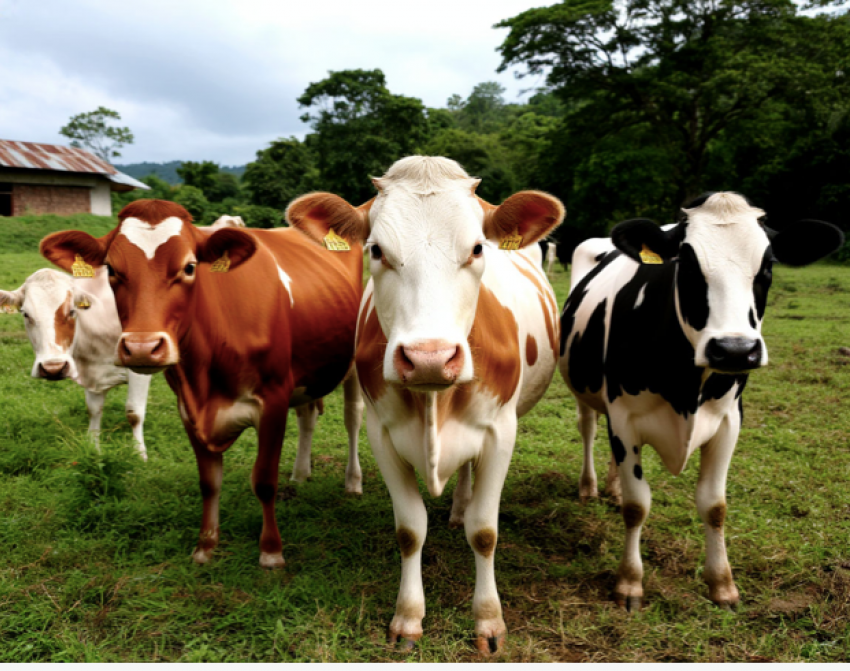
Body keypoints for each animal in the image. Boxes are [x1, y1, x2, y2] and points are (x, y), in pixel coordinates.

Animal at [1, 267, 152, 458]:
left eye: (72, 311)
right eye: (25, 314)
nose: (53, 369)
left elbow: (134, 413)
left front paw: (140, 456)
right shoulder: (92, 371)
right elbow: (93, 409)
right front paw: (94, 448)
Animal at [39, 199, 366, 568]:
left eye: (190, 267)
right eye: (110, 269)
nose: (142, 347)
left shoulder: (274, 399)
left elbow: (264, 479)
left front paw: (271, 552)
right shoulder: (188, 407)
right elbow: (209, 482)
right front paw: (205, 546)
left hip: (352, 365)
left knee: (353, 418)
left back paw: (353, 482)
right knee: (307, 416)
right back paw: (300, 474)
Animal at [292, 156, 565, 653]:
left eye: (477, 248)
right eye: (377, 250)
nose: (429, 358)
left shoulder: (501, 432)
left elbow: (485, 531)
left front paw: (488, 620)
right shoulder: (382, 435)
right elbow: (410, 530)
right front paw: (408, 617)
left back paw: (460, 507)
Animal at [559, 192, 843, 611]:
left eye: (768, 265)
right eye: (687, 265)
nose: (735, 350)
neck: (685, 387)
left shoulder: (728, 421)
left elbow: (714, 505)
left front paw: (722, 585)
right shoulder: (624, 418)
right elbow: (637, 505)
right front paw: (629, 582)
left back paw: (612, 487)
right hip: (585, 391)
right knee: (587, 429)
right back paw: (589, 487)